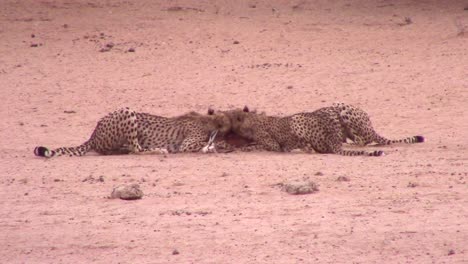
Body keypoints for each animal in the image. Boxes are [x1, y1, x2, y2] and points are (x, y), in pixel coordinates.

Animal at [33, 106, 231, 158]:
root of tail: (93, 134)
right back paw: (158, 150)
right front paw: (213, 146)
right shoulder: (186, 145)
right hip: (128, 112)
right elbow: (202, 144)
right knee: (136, 149)